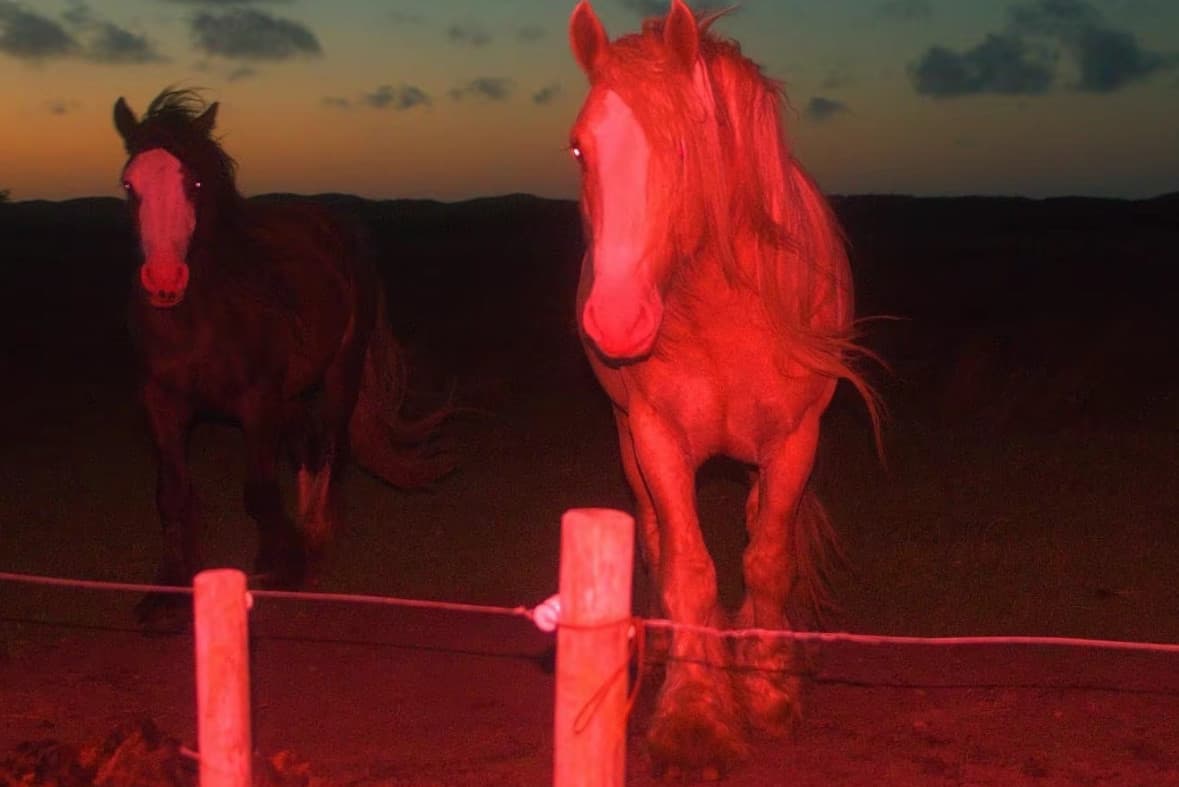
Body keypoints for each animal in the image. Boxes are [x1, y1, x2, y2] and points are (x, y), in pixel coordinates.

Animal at [114, 87, 448, 626]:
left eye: (196, 181)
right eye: (129, 183)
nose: (164, 280)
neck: (201, 319)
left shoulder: (257, 404)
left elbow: (258, 491)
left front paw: (280, 564)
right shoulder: (162, 404)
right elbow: (172, 495)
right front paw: (169, 589)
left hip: (340, 374)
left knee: (331, 445)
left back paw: (313, 538)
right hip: (290, 396)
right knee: (307, 444)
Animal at [565, 0, 881, 772]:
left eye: (685, 148)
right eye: (580, 150)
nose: (615, 320)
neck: (724, 313)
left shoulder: (794, 441)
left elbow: (766, 559)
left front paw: (766, 691)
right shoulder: (657, 439)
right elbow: (687, 568)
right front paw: (693, 715)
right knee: (653, 537)